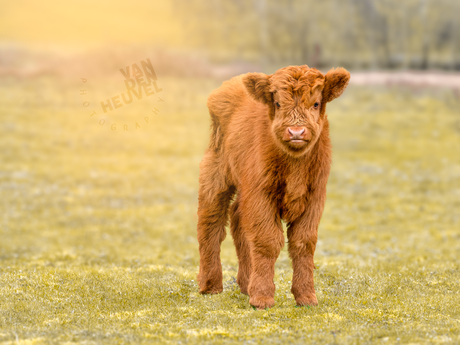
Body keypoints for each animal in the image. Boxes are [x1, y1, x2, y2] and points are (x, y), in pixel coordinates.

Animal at [196, 64, 350, 310]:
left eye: (316, 103)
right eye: (277, 103)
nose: (296, 132)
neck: (294, 165)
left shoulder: (315, 197)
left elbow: (303, 242)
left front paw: (306, 297)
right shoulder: (261, 194)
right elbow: (268, 240)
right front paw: (262, 297)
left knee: (237, 220)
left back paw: (245, 284)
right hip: (216, 176)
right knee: (211, 223)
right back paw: (210, 285)